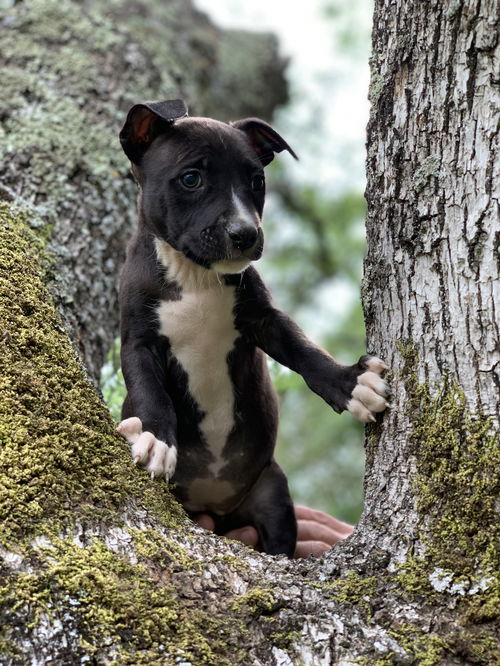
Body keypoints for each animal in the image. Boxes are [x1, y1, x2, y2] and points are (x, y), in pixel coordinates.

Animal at [116, 100, 386, 556]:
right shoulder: (139, 341)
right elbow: (149, 389)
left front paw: (350, 384)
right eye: (191, 179)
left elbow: (304, 352)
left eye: (257, 181)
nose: (245, 233)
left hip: (271, 494)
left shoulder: (262, 319)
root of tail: (215, 504)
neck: (195, 277)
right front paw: (154, 438)